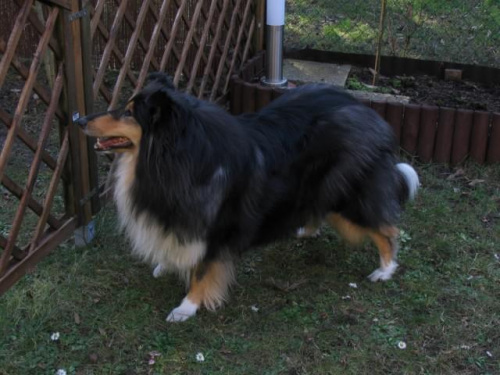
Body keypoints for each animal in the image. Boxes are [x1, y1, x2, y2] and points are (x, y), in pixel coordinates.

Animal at [75, 74, 418, 324]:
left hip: (348, 196)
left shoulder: (216, 227)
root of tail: (367, 111)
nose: (79, 120)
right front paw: (167, 264)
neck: (178, 153)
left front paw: (187, 308)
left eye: (128, 113)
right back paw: (305, 230)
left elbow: (202, 271)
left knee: (388, 229)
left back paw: (385, 270)